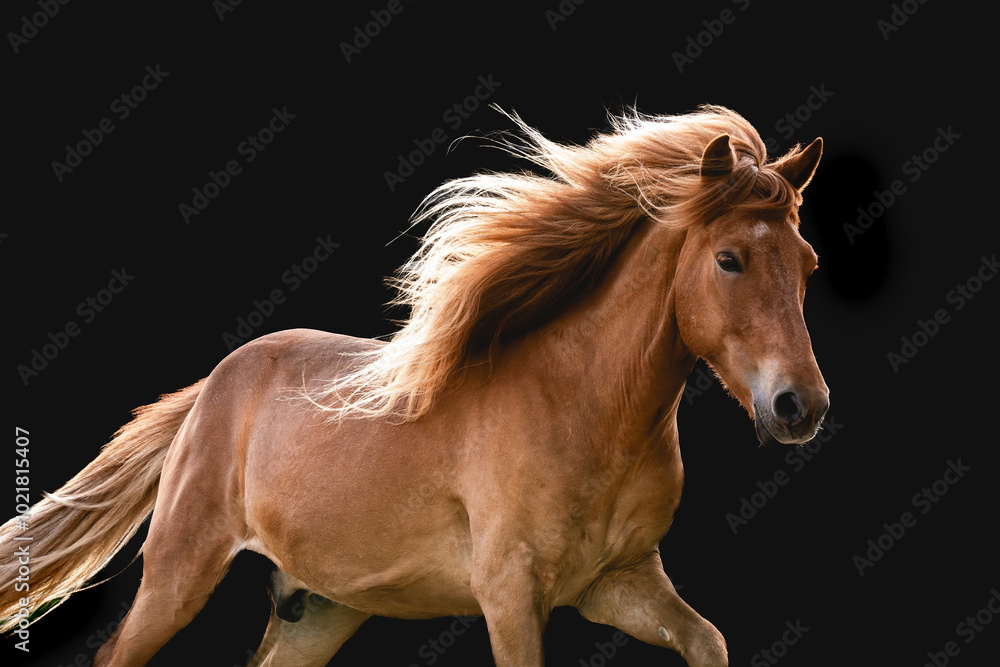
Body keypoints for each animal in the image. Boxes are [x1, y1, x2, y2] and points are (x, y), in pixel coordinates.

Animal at [0, 105, 828, 666]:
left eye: (808, 263)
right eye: (728, 259)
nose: (801, 406)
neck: (584, 408)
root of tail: (212, 386)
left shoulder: (622, 582)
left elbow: (708, 640)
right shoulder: (511, 595)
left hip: (320, 610)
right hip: (180, 572)